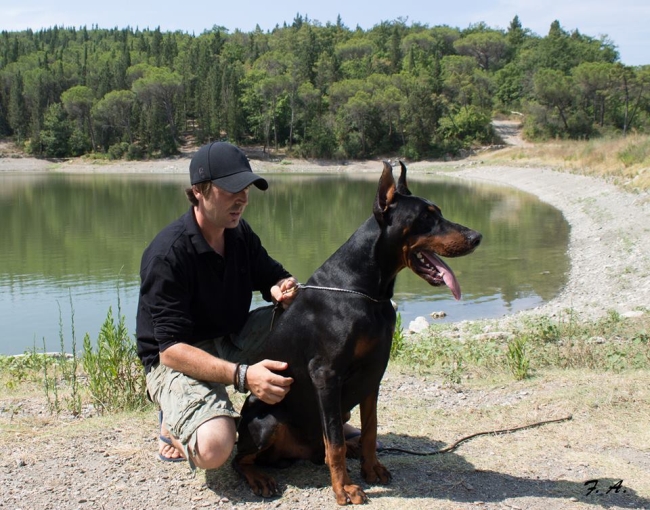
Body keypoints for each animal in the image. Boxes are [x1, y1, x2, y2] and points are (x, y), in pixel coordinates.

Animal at [233, 161, 482, 505]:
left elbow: (371, 428)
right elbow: (334, 443)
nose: (477, 236)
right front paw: (344, 488)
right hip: (266, 422)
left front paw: (371, 467)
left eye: (439, 213)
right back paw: (259, 477)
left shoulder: (373, 372)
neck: (367, 291)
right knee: (241, 459)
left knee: (325, 445)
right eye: (426, 217)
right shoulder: (326, 374)